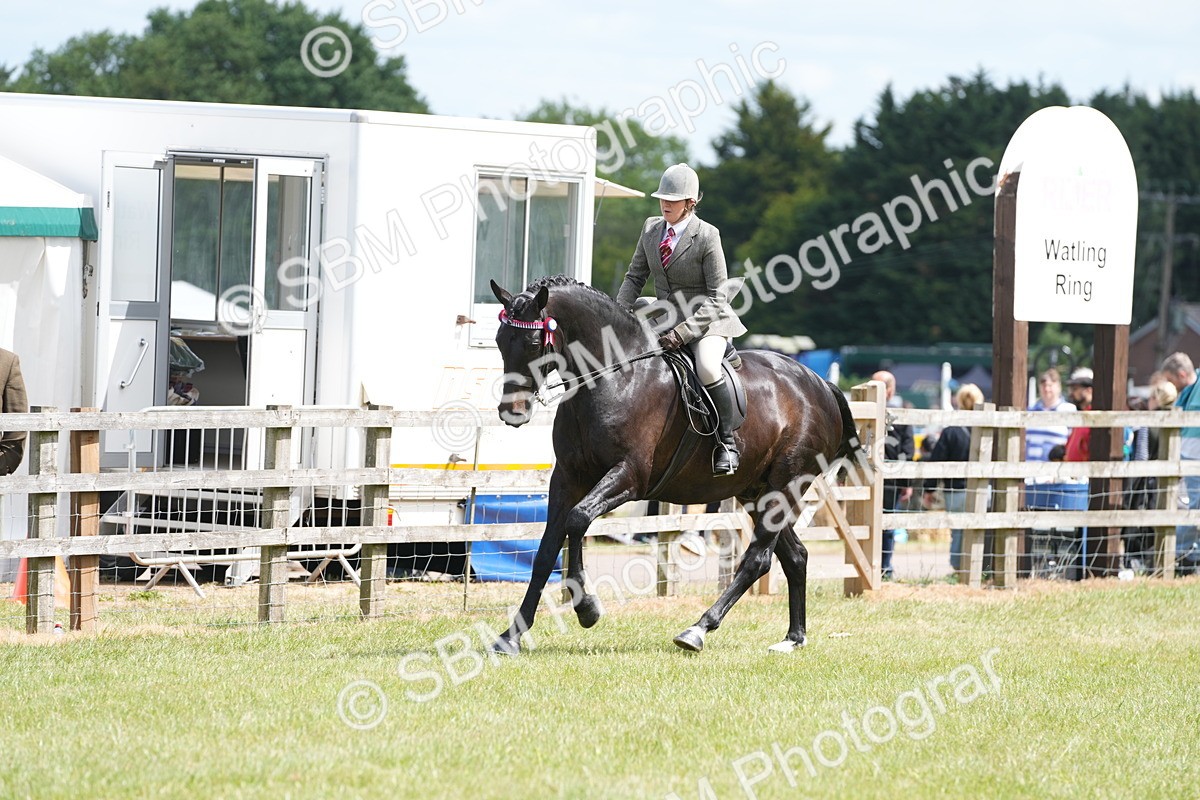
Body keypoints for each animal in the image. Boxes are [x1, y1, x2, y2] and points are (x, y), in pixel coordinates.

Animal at [488, 275, 860, 654]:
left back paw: (697, 630)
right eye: (500, 340)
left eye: (534, 342)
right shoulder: (566, 479)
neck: (615, 379)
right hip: (757, 493)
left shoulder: (628, 477)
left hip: (787, 485)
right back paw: (793, 638)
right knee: (795, 556)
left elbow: (577, 521)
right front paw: (511, 636)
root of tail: (821, 384)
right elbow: (546, 551)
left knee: (758, 559)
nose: (512, 411)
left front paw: (587, 609)